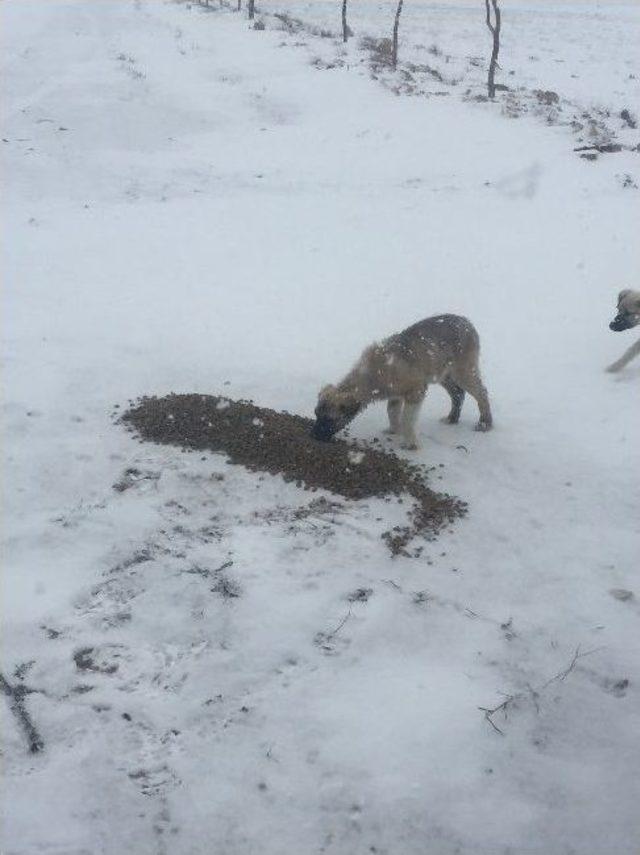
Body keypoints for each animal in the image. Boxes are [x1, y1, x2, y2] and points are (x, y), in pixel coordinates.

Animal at [312, 312, 492, 448]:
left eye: (330, 419)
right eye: (316, 414)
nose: (314, 436)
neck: (374, 373)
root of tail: (467, 322)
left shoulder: (416, 392)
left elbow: (407, 419)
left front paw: (409, 443)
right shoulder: (395, 394)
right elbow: (391, 412)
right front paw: (394, 430)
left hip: (463, 371)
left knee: (481, 393)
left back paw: (485, 423)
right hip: (444, 375)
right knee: (458, 394)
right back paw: (452, 418)